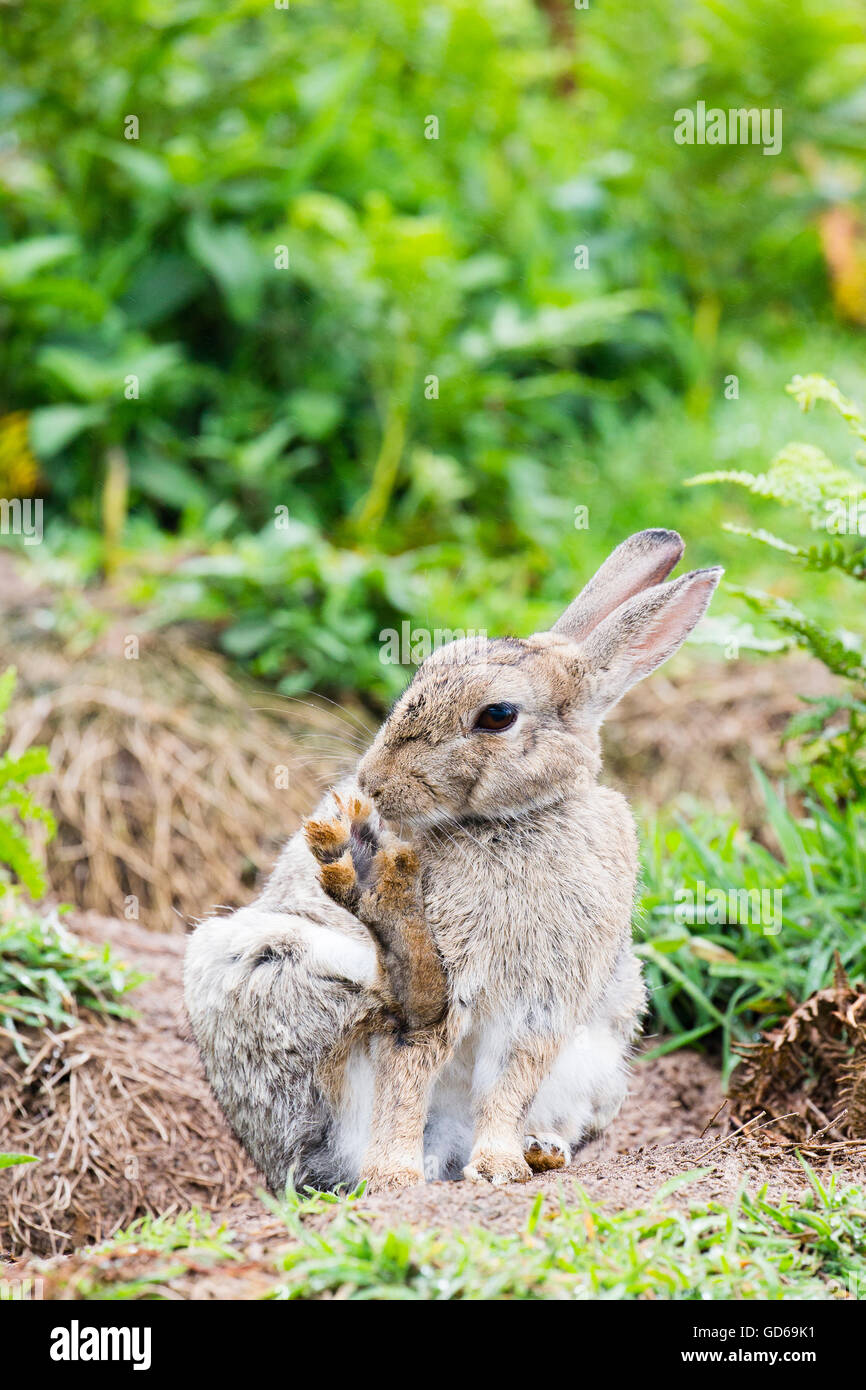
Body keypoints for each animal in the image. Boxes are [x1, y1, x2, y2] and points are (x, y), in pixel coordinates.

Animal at [184, 529, 721, 1192]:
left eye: (498, 715)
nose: (372, 783)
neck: (510, 823)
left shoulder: (544, 1002)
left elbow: (510, 1082)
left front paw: (498, 1167)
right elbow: (409, 1070)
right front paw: (397, 1177)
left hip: (601, 1050)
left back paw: (538, 1152)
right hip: (262, 966)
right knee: (383, 1054)